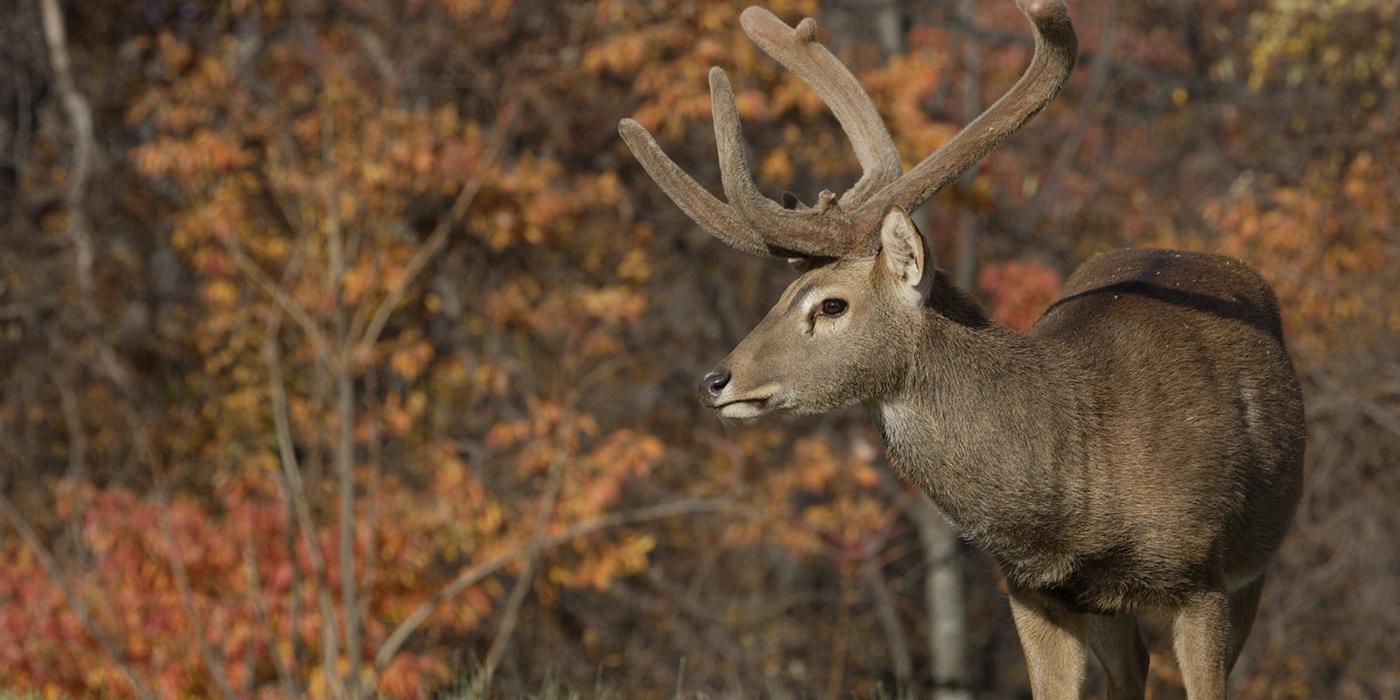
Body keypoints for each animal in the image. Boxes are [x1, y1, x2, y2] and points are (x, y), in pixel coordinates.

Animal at [618, 1, 1304, 700]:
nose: (716, 380)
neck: (1080, 489)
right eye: (785, 292)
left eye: (831, 305)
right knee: (1130, 668)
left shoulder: (1204, 575)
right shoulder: (1034, 589)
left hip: (1256, 559)